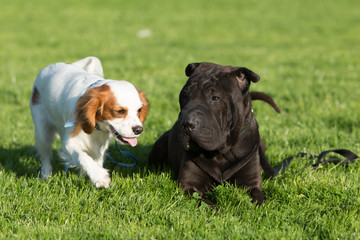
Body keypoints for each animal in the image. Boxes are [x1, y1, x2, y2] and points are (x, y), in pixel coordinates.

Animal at [29, 56, 149, 188]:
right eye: (120, 111)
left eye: (139, 110)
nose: (138, 129)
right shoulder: (69, 143)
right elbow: (82, 157)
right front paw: (99, 177)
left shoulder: (99, 146)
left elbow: (95, 160)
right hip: (42, 131)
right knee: (45, 157)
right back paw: (46, 176)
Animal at [148, 62, 280, 206]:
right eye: (185, 96)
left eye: (215, 98)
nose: (187, 123)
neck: (222, 153)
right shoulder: (189, 185)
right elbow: (204, 203)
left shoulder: (251, 184)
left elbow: (257, 201)